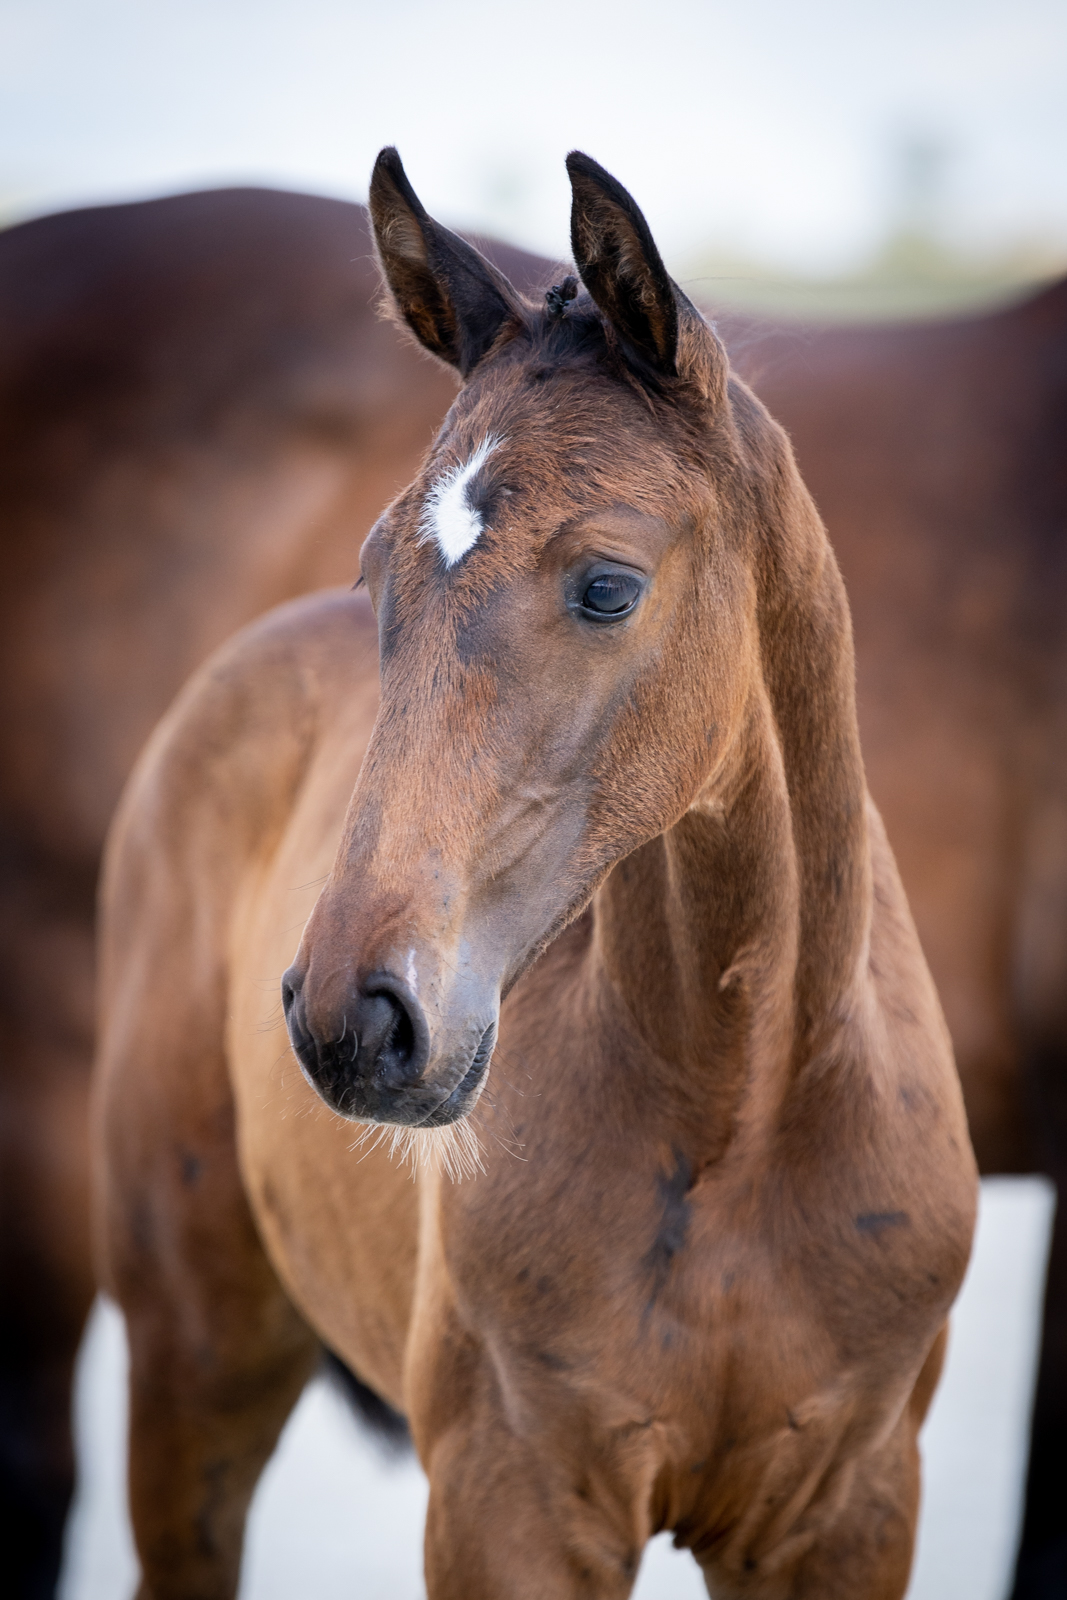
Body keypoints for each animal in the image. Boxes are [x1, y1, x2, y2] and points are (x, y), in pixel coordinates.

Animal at [93, 148, 976, 1599]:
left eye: (607, 585)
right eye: (376, 571)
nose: (351, 1017)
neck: (740, 1122)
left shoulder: (847, 1511)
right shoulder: (508, 1502)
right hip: (192, 1361)